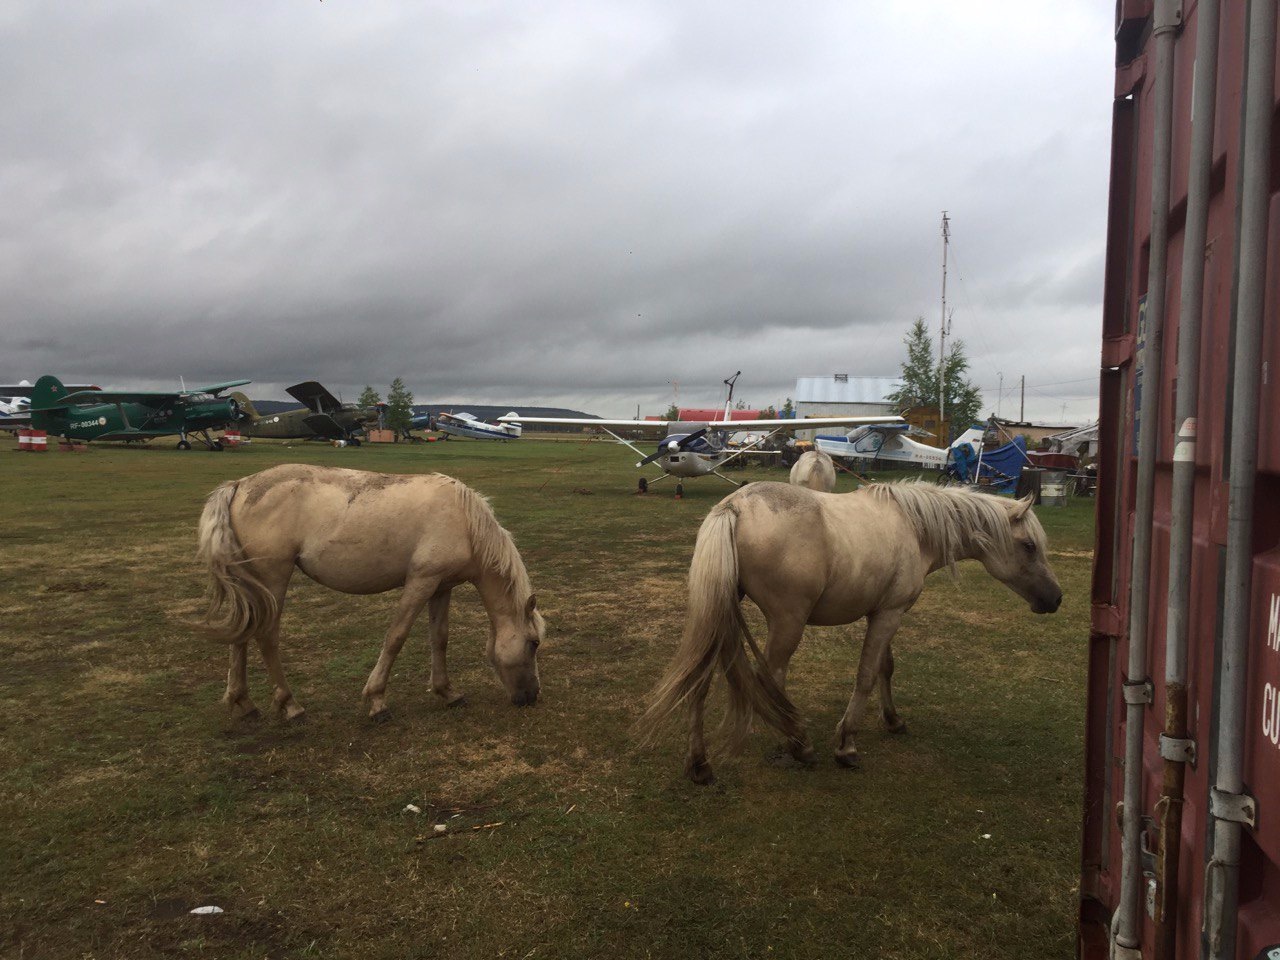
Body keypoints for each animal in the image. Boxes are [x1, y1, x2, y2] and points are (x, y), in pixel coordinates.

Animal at [197, 463, 542, 721]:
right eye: (534, 643)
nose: (532, 696)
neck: (464, 523)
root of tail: (239, 485)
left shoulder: (441, 587)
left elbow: (439, 639)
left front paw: (448, 692)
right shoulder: (421, 581)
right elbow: (396, 637)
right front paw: (377, 701)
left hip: (250, 584)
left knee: (243, 633)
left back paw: (244, 704)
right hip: (273, 578)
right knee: (266, 636)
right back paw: (291, 705)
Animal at [645, 483, 1064, 783]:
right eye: (1029, 546)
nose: (1056, 598)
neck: (915, 528)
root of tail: (733, 507)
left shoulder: (884, 612)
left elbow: (885, 667)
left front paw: (892, 720)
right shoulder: (889, 614)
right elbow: (865, 675)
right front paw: (846, 744)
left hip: (719, 614)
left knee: (699, 680)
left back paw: (700, 764)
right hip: (787, 623)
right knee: (771, 680)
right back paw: (798, 743)